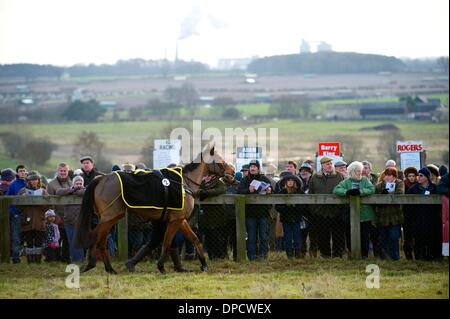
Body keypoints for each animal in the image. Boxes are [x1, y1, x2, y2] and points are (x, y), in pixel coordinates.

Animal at [74, 145, 236, 276]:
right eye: (220, 160)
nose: (232, 171)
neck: (184, 184)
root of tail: (101, 179)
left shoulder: (179, 220)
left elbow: (194, 238)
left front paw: (203, 265)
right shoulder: (175, 220)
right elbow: (167, 242)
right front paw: (161, 266)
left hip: (111, 217)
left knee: (101, 240)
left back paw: (110, 268)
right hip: (110, 216)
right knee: (96, 237)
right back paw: (93, 265)